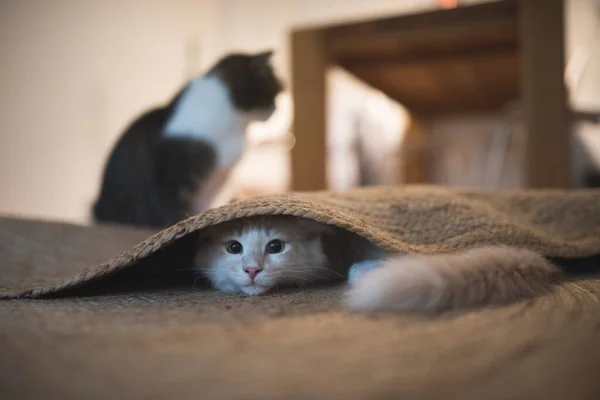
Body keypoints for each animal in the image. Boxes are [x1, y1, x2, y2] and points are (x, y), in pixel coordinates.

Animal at [92, 50, 284, 228]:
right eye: (274, 92)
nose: (277, 109)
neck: (236, 124)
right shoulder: (172, 171)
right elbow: (172, 208)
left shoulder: (218, 182)